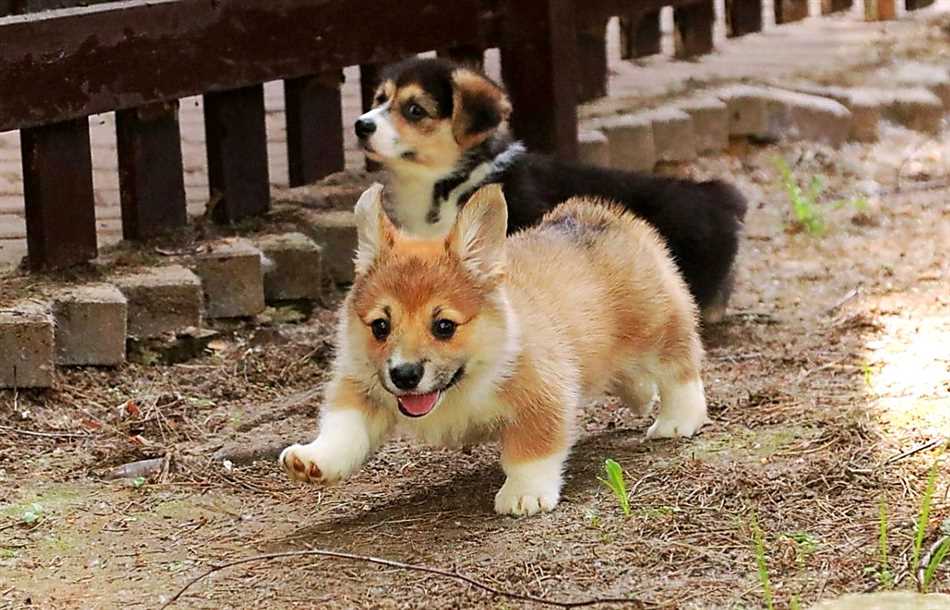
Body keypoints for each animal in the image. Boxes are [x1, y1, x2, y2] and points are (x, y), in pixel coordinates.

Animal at [278, 182, 712, 512]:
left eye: (444, 326)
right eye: (380, 326)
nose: (404, 375)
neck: (465, 381)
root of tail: (595, 214)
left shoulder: (543, 395)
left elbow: (530, 449)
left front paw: (524, 494)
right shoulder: (361, 386)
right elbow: (343, 427)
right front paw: (314, 460)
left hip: (658, 327)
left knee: (679, 369)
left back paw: (677, 420)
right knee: (630, 377)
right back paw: (640, 395)